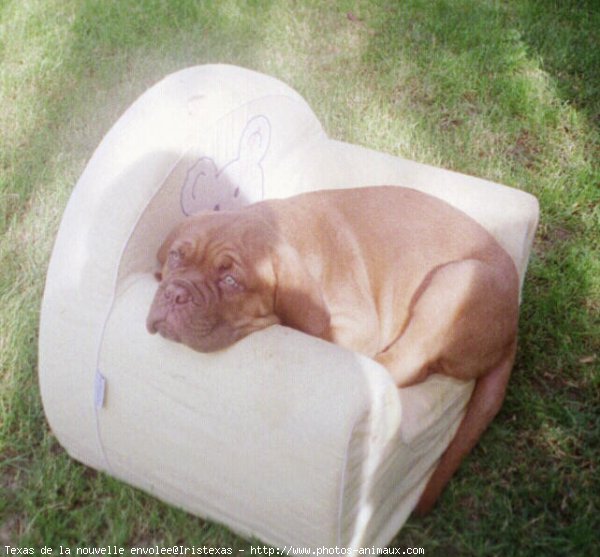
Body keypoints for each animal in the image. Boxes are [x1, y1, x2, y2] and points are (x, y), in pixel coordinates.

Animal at [146, 187, 520, 512]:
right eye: (177, 256)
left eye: (230, 281)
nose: (175, 294)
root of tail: (511, 328)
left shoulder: (356, 324)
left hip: (454, 282)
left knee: (403, 363)